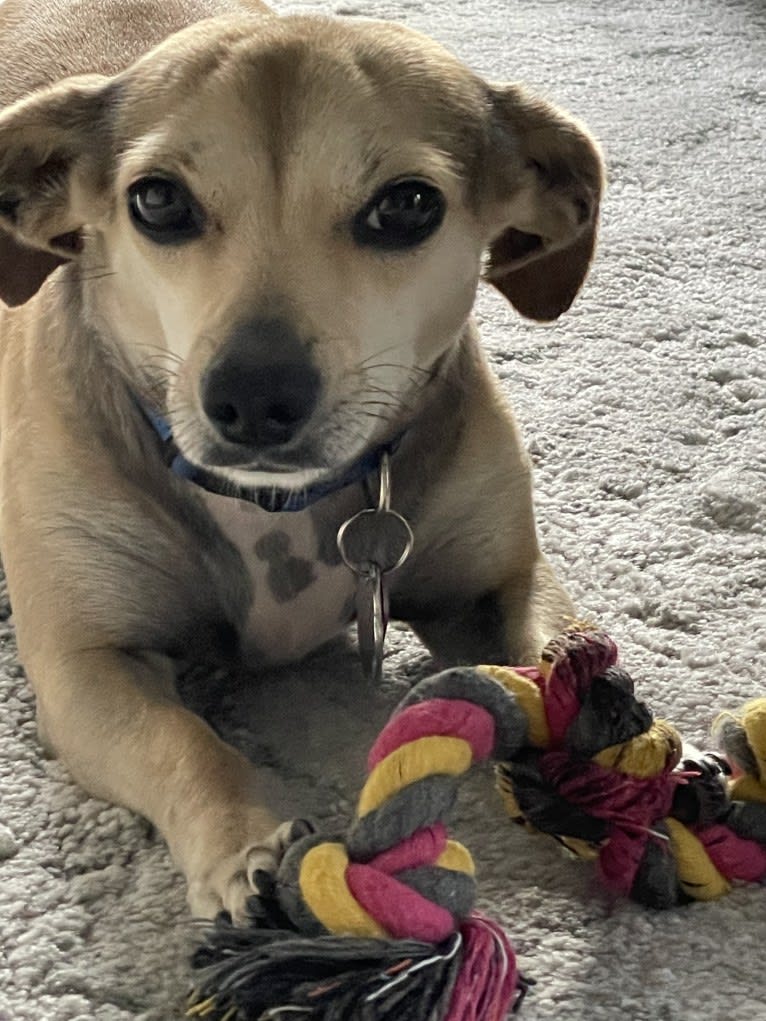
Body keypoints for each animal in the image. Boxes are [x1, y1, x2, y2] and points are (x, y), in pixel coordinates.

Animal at [0, 0, 604, 918]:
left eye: (407, 205)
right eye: (156, 199)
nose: (253, 396)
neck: (274, 503)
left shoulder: (501, 581)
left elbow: (553, 659)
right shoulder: (85, 666)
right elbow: (185, 742)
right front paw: (245, 847)